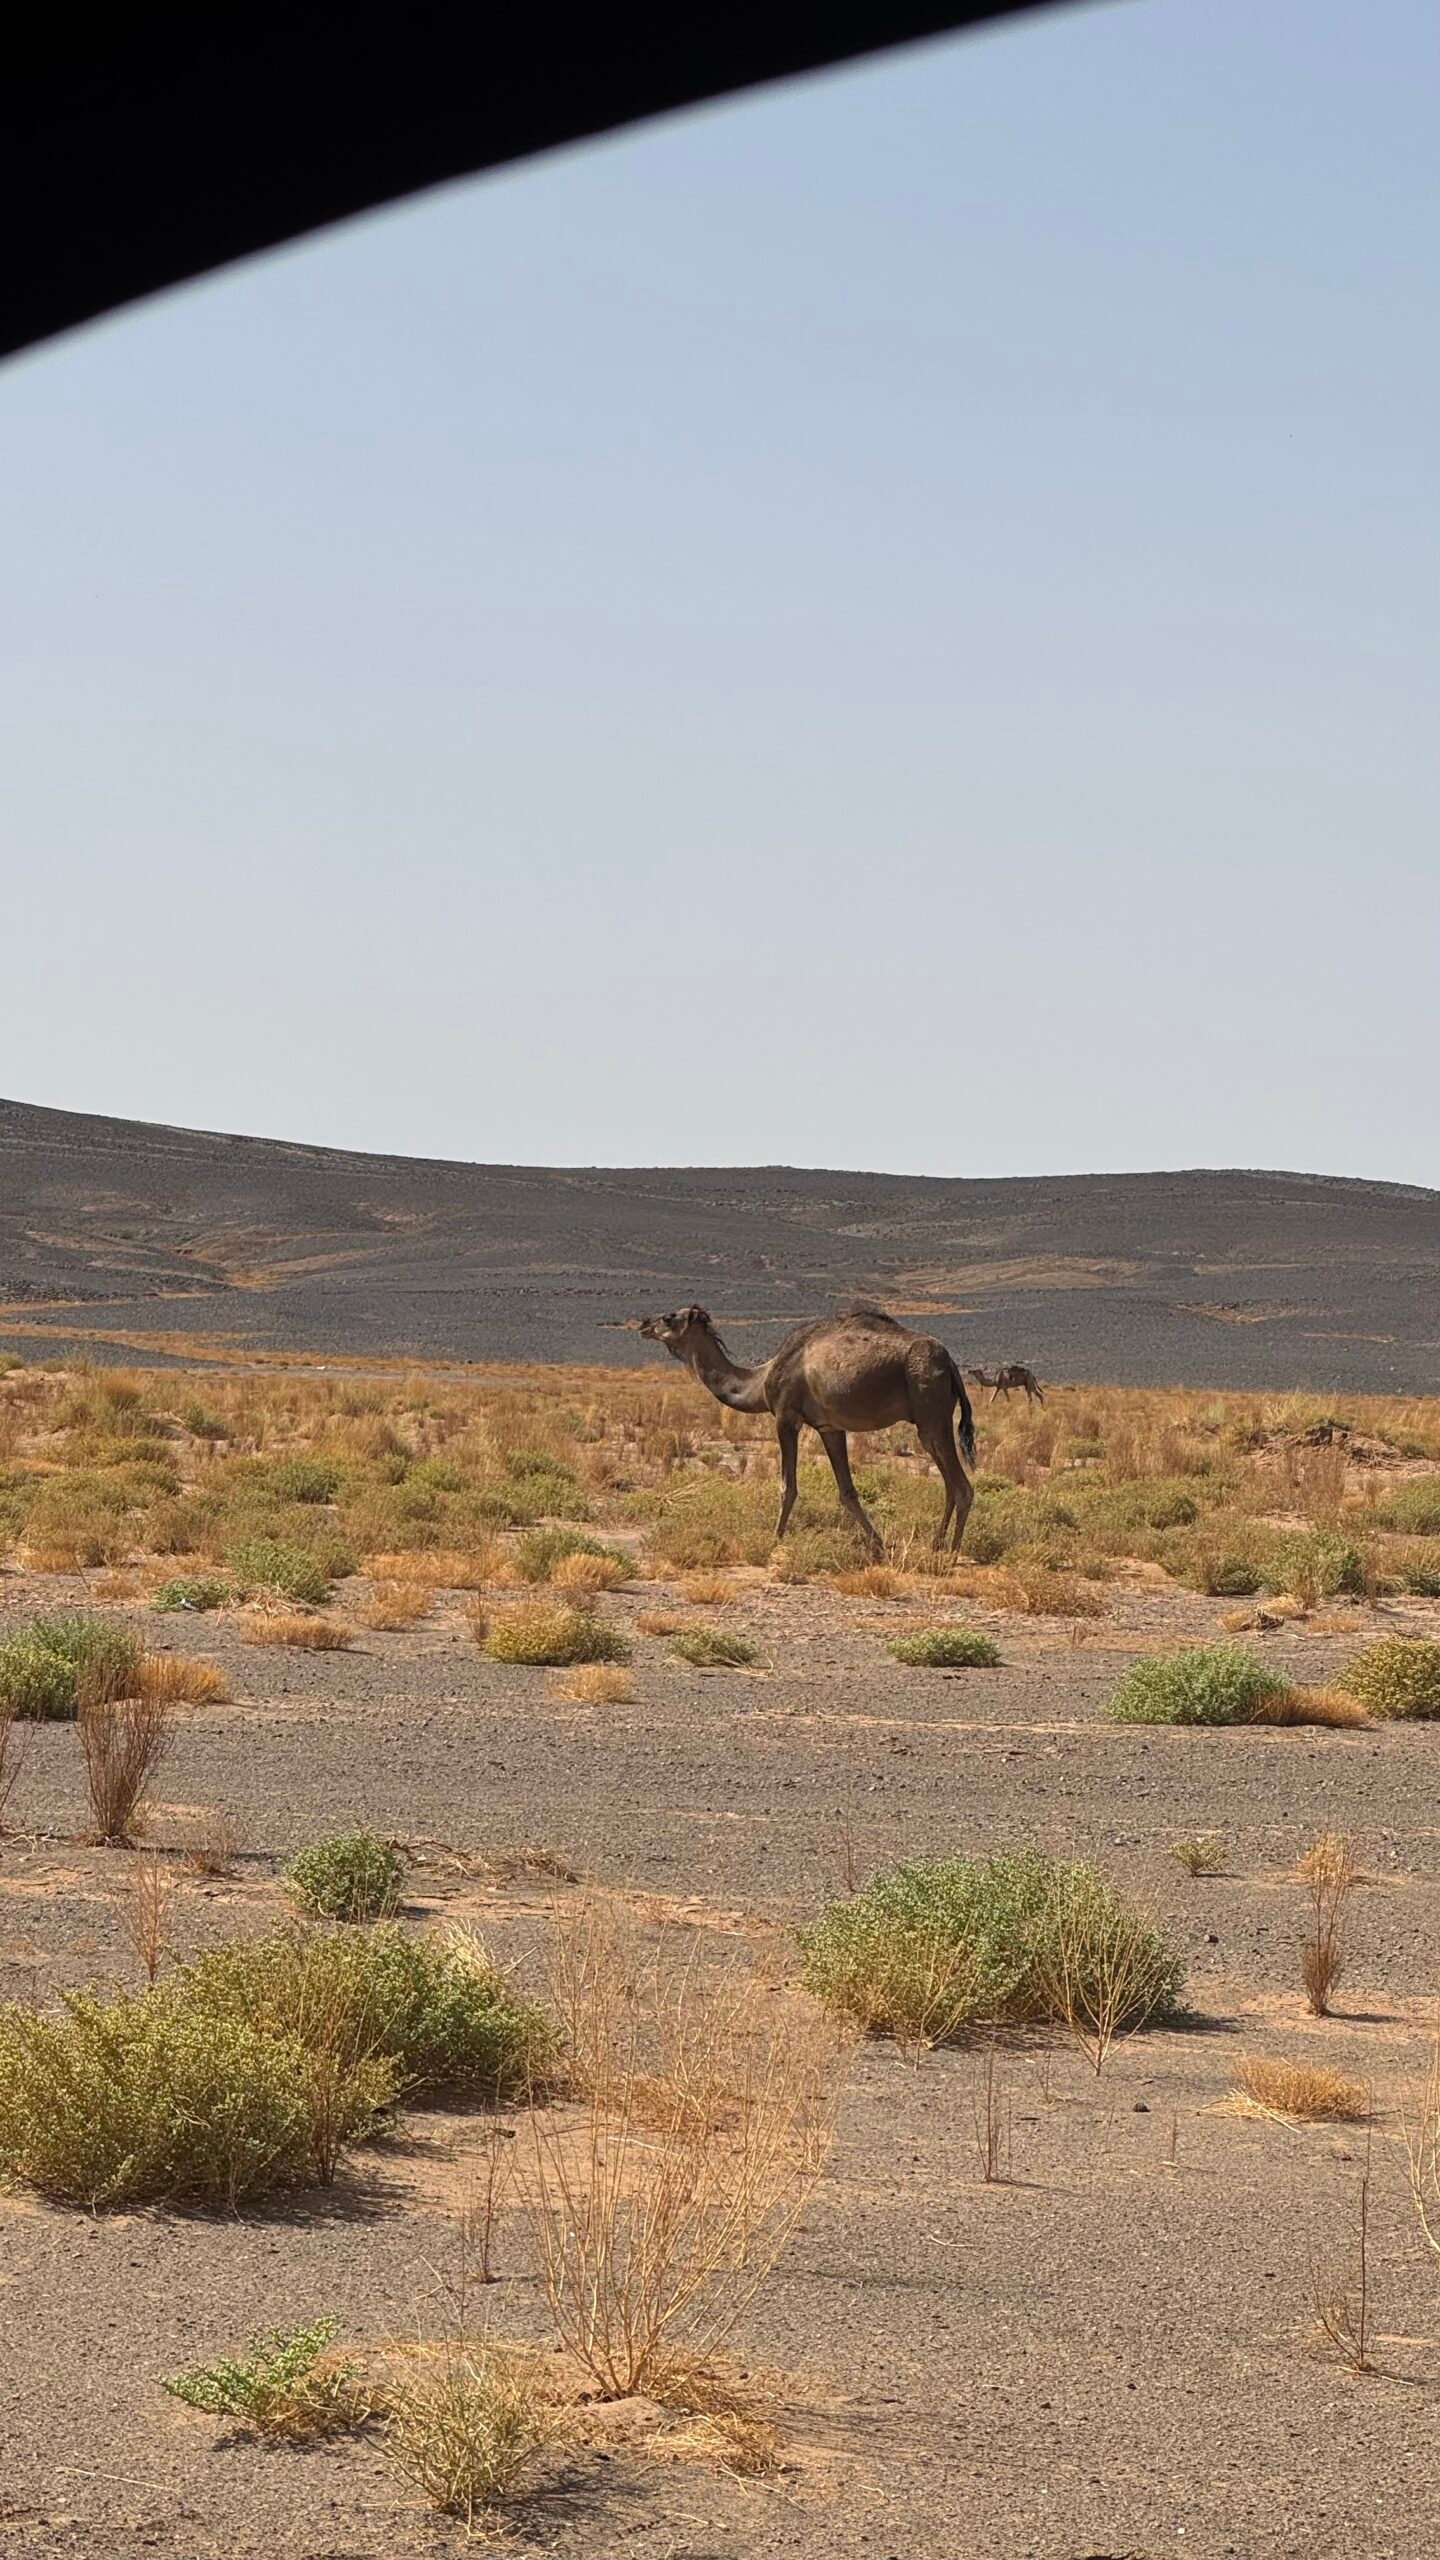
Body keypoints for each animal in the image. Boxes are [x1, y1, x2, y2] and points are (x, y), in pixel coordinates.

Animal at [637, 1303, 976, 1555]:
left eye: (669, 1317)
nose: (643, 1324)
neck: (760, 1381)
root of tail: (950, 1364)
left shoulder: (786, 1417)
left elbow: (788, 1487)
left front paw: (775, 1539)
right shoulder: (830, 1427)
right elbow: (847, 1491)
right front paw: (878, 1545)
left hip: (931, 1411)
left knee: (962, 1487)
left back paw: (952, 1551)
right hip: (928, 1423)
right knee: (949, 1483)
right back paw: (936, 1543)